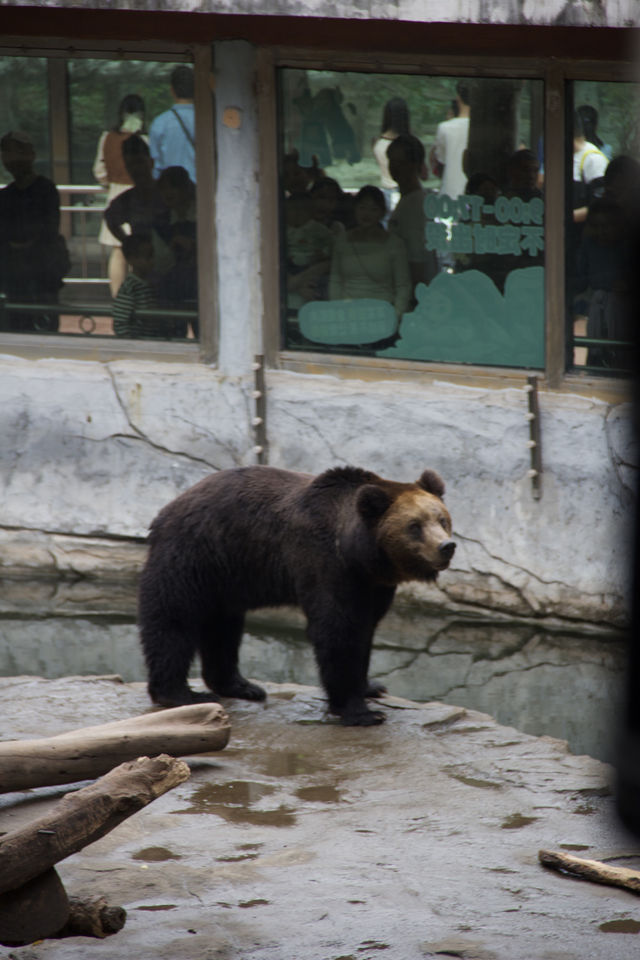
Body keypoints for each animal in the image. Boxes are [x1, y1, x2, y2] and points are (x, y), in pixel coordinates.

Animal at [139, 466, 456, 728]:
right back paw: (179, 693)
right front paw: (362, 712)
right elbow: (338, 630)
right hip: (196, 552)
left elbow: (365, 628)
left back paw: (242, 686)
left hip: (226, 574)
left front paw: (372, 685)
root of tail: (170, 506)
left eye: (442, 519)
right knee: (173, 618)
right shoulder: (325, 563)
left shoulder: (372, 585)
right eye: (414, 526)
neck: (360, 554)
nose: (447, 546)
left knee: (223, 626)